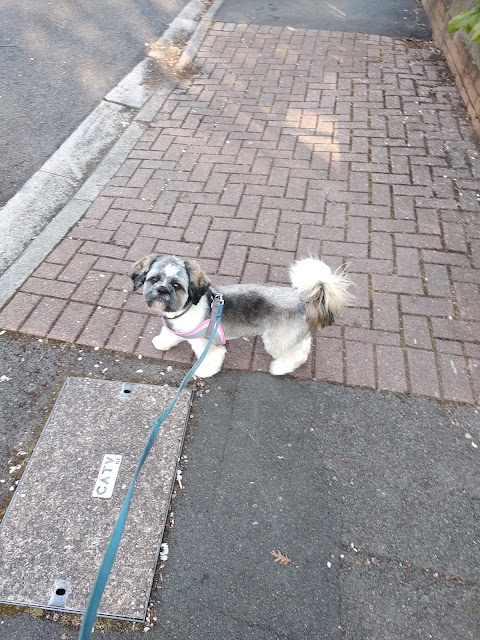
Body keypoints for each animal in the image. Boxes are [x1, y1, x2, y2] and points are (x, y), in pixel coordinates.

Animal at [132, 254, 352, 378]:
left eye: (176, 285)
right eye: (154, 279)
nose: (162, 290)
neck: (184, 309)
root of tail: (303, 299)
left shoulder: (208, 344)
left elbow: (210, 359)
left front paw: (204, 371)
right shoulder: (178, 328)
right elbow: (170, 334)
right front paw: (162, 341)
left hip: (275, 339)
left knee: (296, 354)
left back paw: (280, 368)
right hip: (289, 334)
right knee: (303, 346)